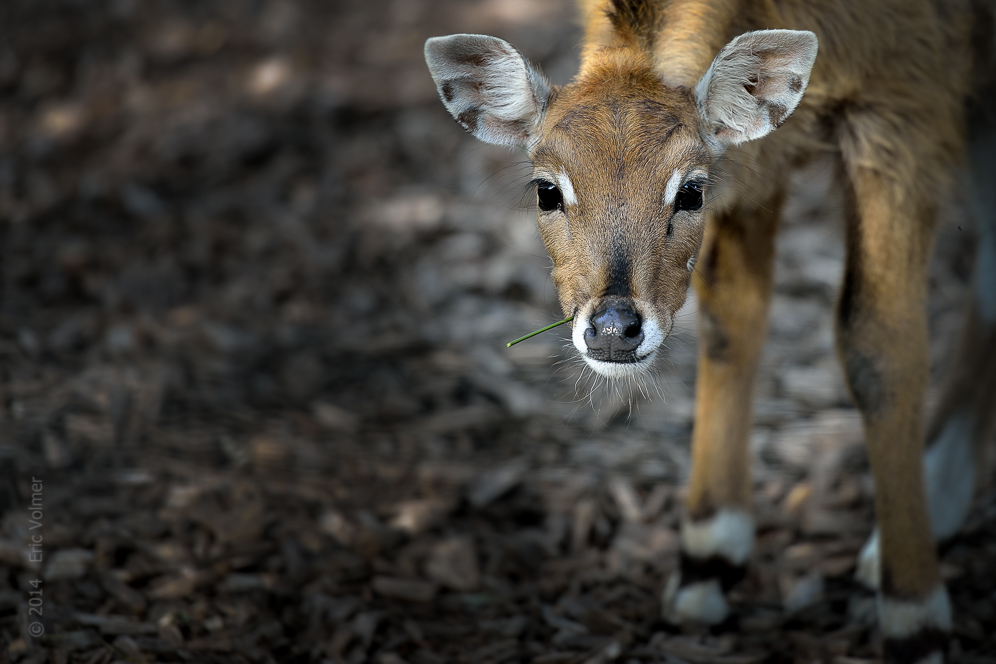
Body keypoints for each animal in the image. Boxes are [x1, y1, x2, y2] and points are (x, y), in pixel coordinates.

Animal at [424, 1, 996, 660]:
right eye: (547, 189)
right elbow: (732, 319)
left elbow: (878, 342)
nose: (614, 328)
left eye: (692, 189)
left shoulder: (907, 100)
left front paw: (915, 617)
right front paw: (707, 559)